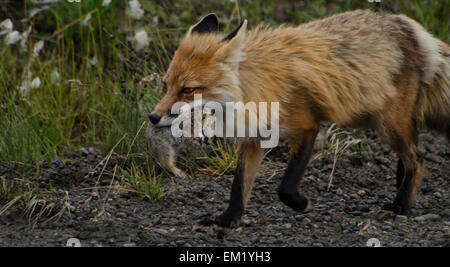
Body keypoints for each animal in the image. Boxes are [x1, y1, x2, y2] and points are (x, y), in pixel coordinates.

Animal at [149, 10, 448, 228]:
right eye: (165, 85)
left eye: (188, 90)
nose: (153, 117)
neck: (252, 90)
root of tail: (411, 27)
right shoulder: (254, 138)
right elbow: (238, 187)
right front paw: (227, 220)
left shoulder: (307, 126)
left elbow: (286, 185)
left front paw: (301, 204)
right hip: (376, 118)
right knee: (412, 152)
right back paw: (401, 187)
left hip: (387, 124)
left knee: (418, 159)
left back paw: (402, 205)